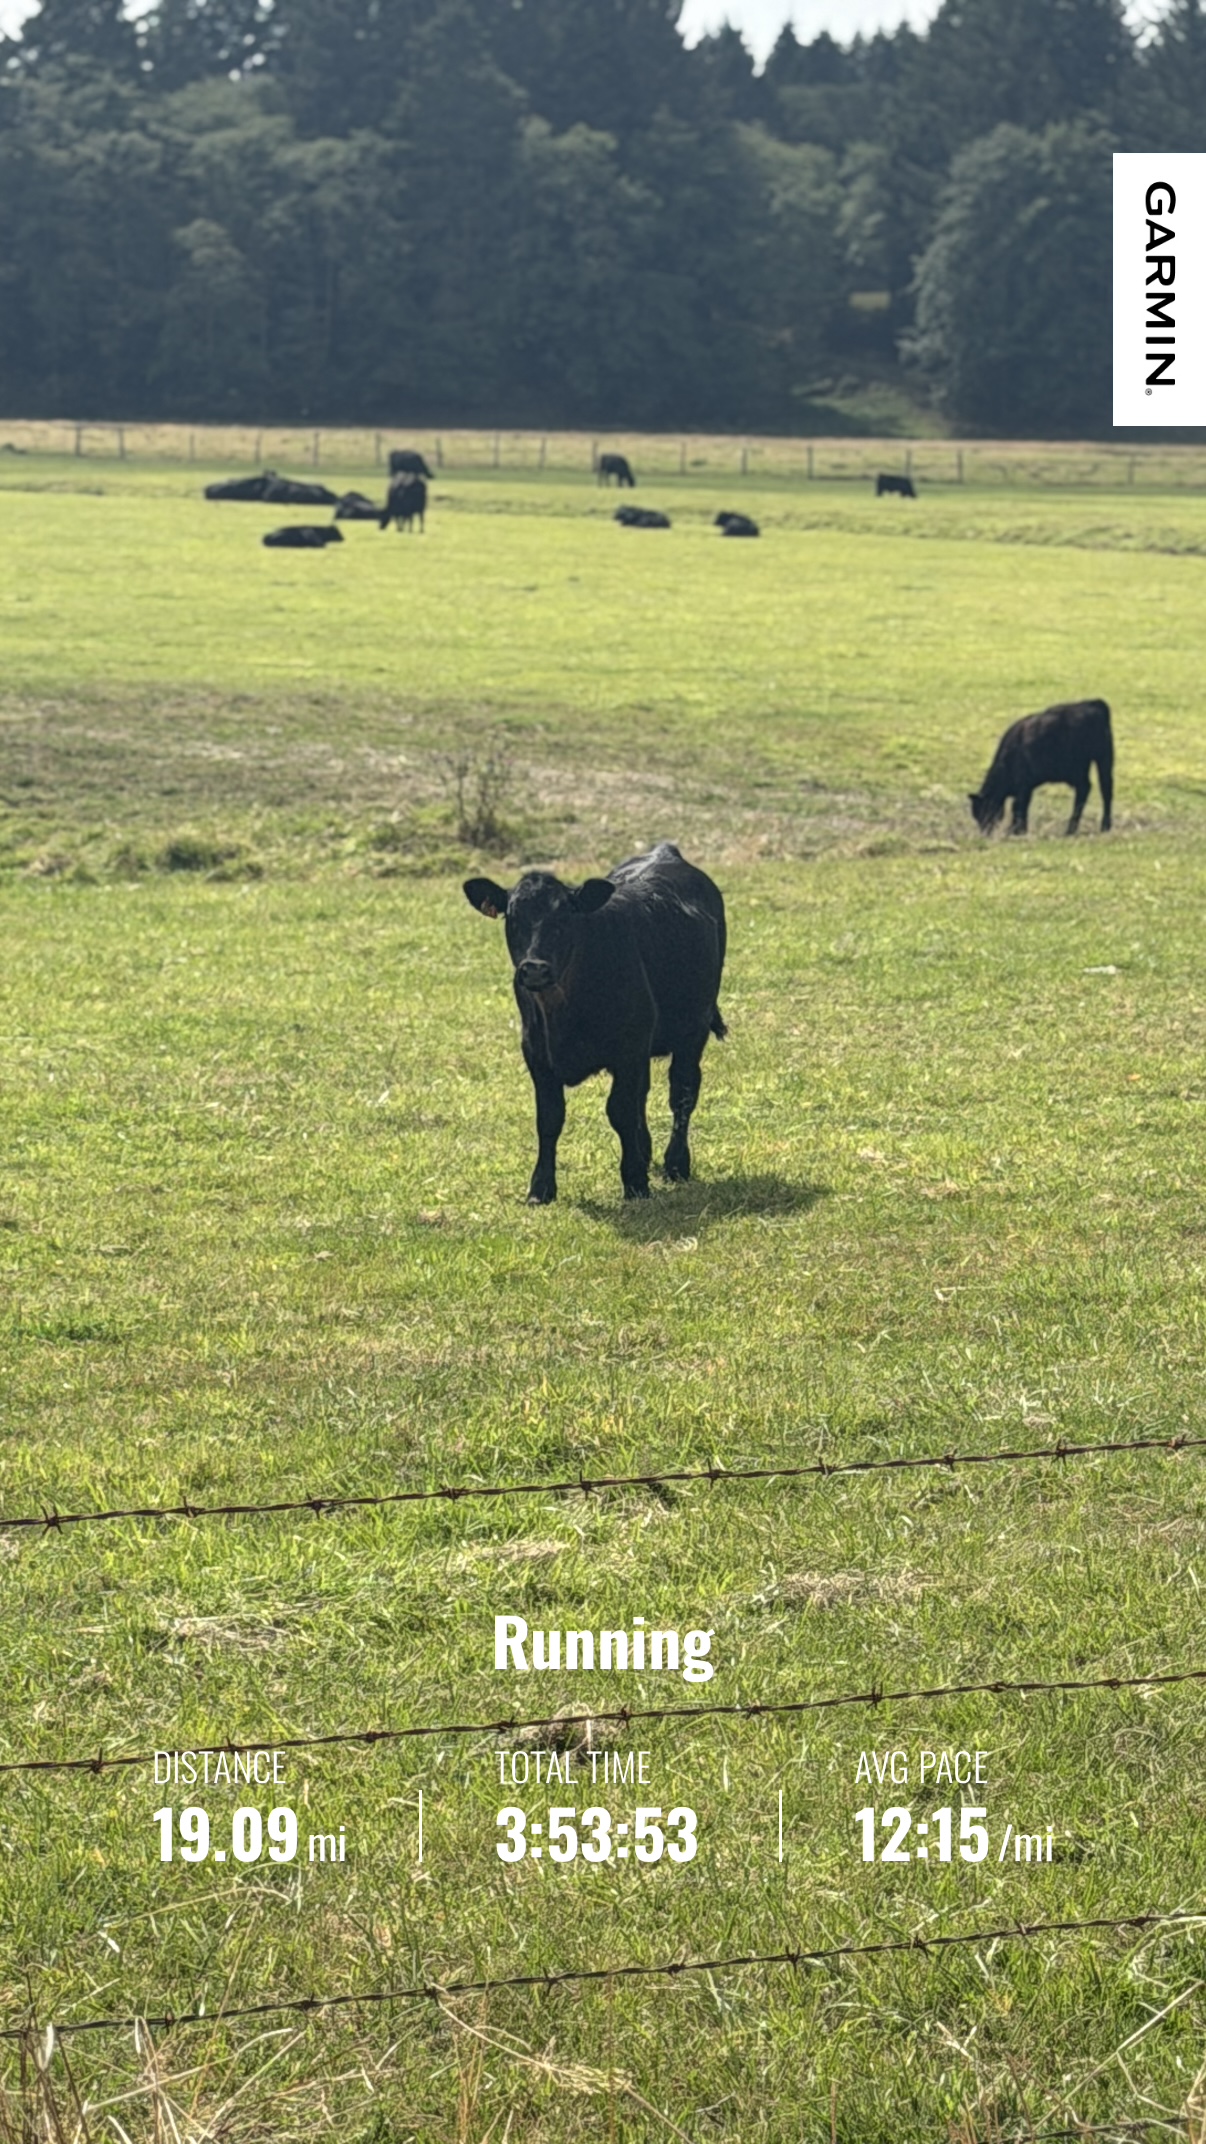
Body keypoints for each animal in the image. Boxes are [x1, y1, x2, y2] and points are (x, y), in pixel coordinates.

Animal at [463, 841, 727, 1204]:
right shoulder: (536, 1053)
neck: (563, 1013)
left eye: (565, 917)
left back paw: (675, 1163)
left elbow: (620, 1110)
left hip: (693, 1029)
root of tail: (665, 851)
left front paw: (635, 1181)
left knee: (682, 1091)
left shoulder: (629, 1049)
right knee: (645, 1094)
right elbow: (550, 1118)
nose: (535, 969)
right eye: (513, 918)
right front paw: (540, 1188)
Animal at [969, 699, 1114, 836]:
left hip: (1092, 763)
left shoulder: (1023, 786)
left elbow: (1018, 806)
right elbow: (1022, 806)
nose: (985, 832)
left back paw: (1085, 828)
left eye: (984, 811)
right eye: (976, 816)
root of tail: (1093, 703)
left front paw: (1016, 831)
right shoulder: (1026, 788)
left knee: (1099, 789)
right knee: (1095, 789)